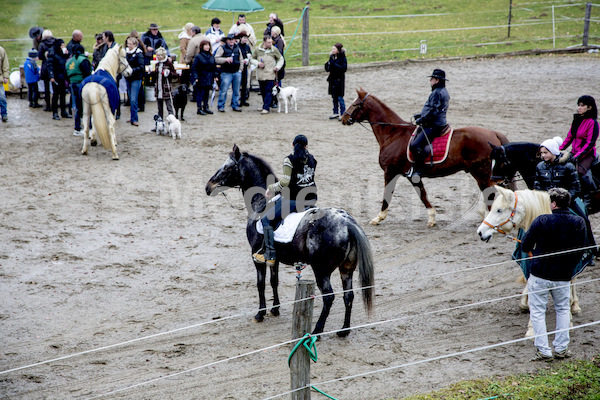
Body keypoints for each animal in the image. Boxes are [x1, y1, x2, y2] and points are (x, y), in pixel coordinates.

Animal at [206, 145, 376, 336]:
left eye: (227, 167)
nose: (208, 187)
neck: (262, 203)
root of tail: (348, 223)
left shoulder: (256, 256)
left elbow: (260, 284)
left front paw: (260, 313)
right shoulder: (273, 258)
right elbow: (274, 281)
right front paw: (275, 309)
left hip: (321, 270)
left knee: (329, 297)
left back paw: (317, 330)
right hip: (346, 269)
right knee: (349, 295)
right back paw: (344, 330)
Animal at [340, 89, 508, 227]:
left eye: (355, 104)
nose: (343, 118)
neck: (393, 134)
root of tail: (493, 134)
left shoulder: (390, 172)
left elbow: (387, 194)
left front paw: (378, 217)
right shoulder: (412, 176)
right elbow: (422, 194)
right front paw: (432, 218)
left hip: (481, 173)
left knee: (490, 193)